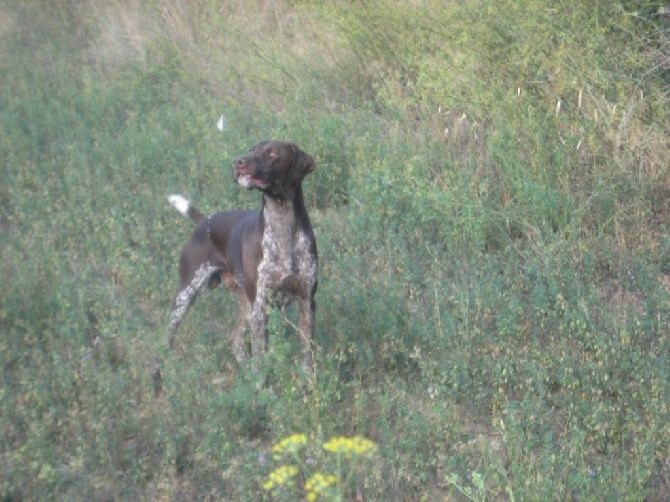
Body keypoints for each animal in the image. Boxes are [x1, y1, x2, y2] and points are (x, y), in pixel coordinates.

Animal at [167, 140, 316, 368]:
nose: (238, 162)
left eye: (271, 154)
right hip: (184, 298)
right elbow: (261, 360)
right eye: (250, 150)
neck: (282, 223)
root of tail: (204, 222)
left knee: (236, 340)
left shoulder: (307, 302)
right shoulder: (260, 307)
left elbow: (307, 357)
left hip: (246, 304)